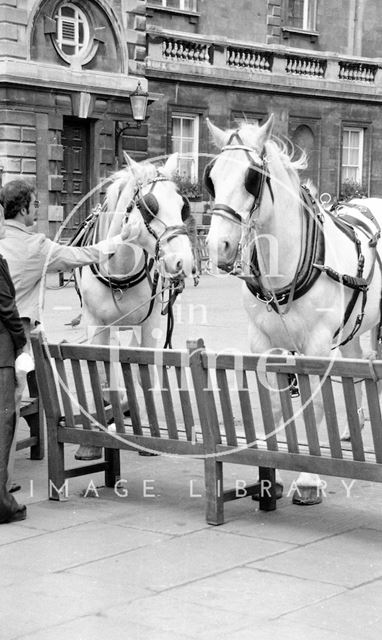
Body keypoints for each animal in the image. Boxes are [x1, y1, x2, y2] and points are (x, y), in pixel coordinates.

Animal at [74, 154, 195, 460]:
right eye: (150, 207)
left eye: (183, 206)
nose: (183, 262)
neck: (120, 271)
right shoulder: (94, 323)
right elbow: (100, 374)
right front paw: (91, 441)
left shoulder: (150, 324)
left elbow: (144, 372)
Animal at [206, 115, 382, 504]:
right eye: (211, 177)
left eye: (252, 177)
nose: (217, 246)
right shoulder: (262, 342)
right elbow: (273, 404)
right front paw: (270, 467)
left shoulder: (316, 346)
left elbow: (314, 407)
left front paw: (309, 479)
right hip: (353, 324)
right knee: (355, 367)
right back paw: (352, 428)